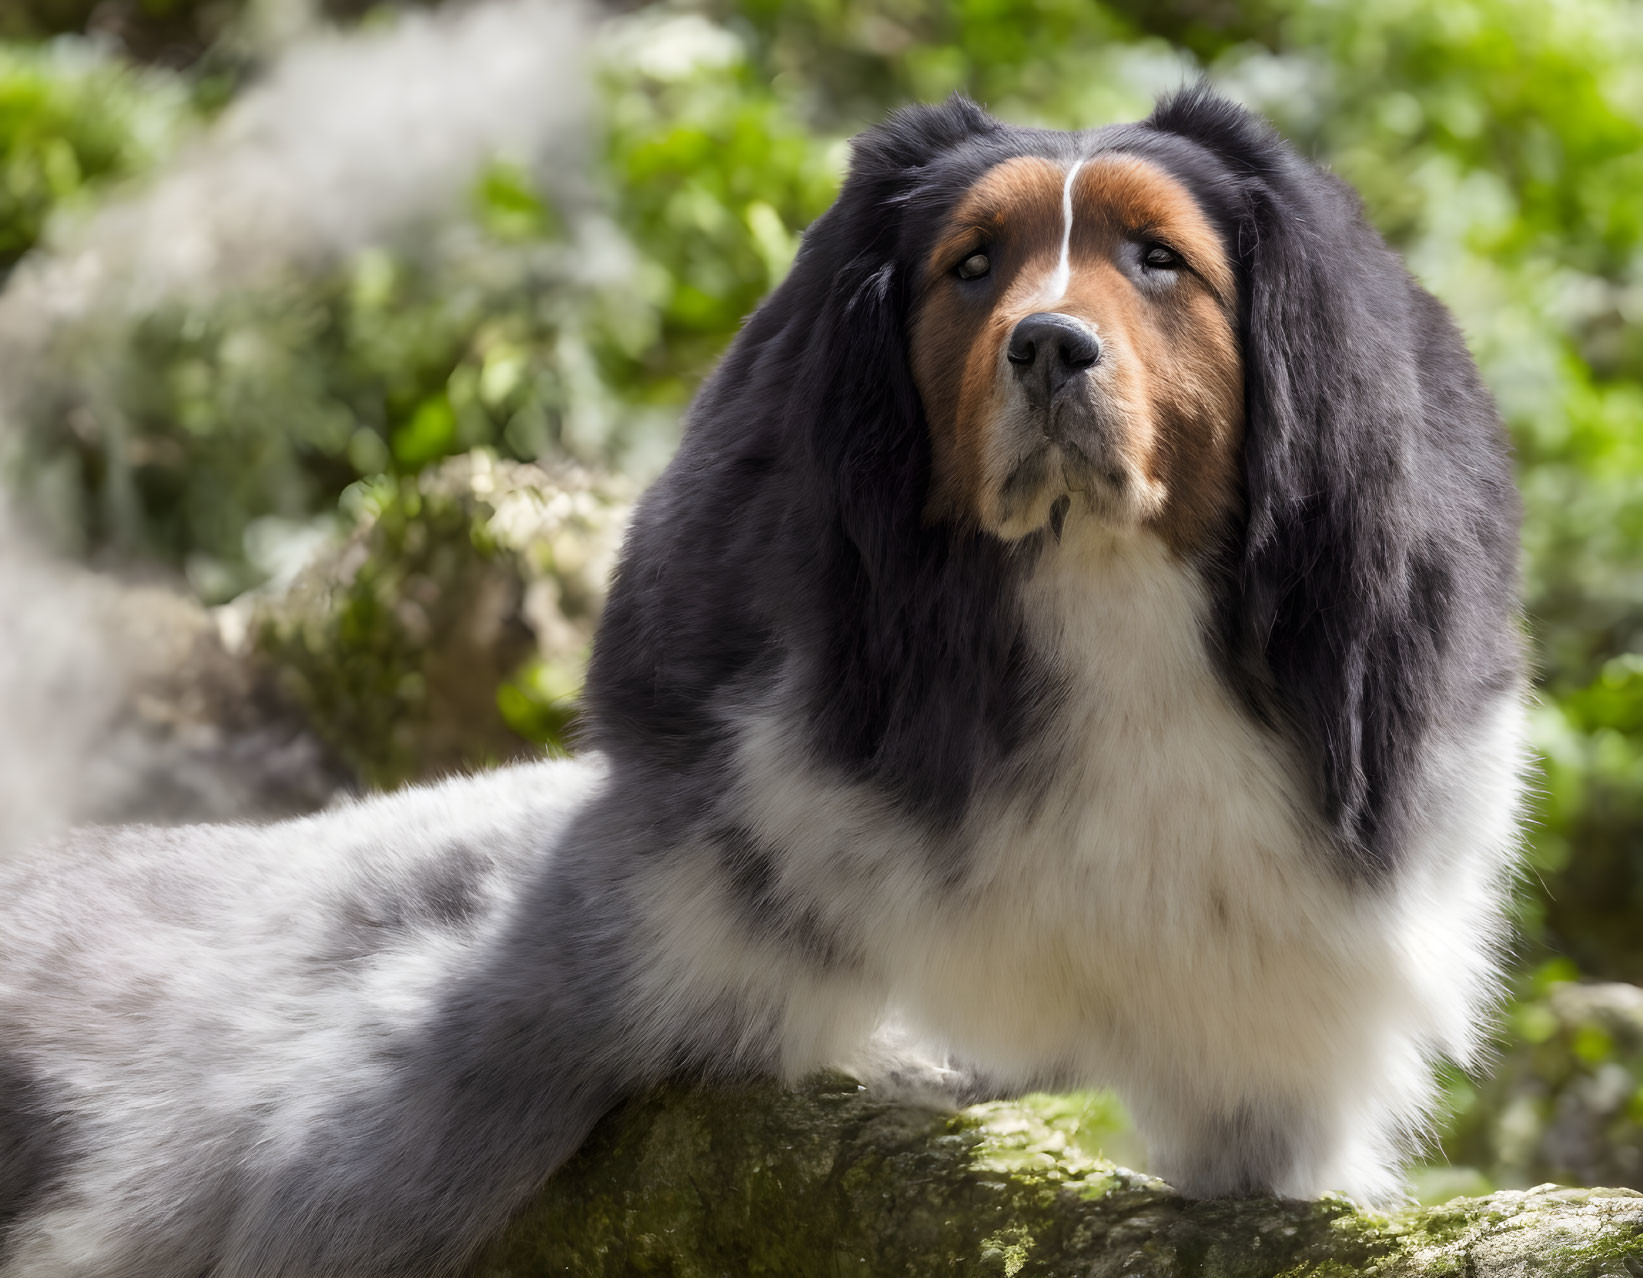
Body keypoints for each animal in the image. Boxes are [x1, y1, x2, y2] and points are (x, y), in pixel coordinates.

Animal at [6, 89, 1531, 1274]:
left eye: (1159, 260)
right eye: (971, 265)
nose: (1048, 344)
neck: (1094, 605)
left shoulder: (1274, 1053)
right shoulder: (645, 909)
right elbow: (394, 1143)